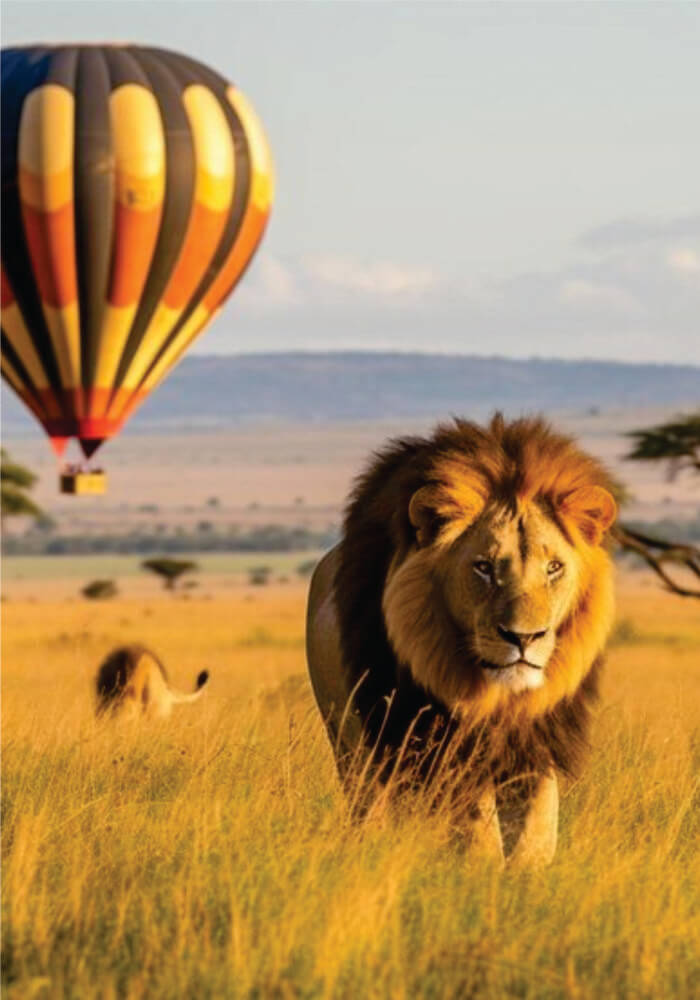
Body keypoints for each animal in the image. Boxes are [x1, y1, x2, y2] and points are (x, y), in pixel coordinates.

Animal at [306, 414, 617, 867]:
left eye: (554, 568)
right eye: (483, 567)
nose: (524, 637)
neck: (500, 701)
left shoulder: (537, 742)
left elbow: (539, 828)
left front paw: (529, 872)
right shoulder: (446, 746)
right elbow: (477, 828)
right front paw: (480, 870)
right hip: (351, 744)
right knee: (369, 807)